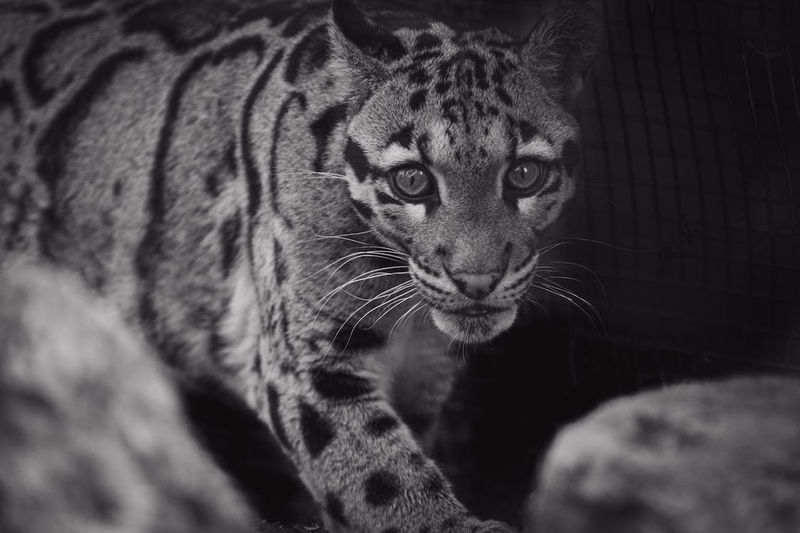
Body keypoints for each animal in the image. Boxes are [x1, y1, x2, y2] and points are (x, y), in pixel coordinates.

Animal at [0, 2, 600, 528]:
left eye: (524, 175)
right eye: (412, 180)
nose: (477, 279)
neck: (409, 313)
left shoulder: (426, 377)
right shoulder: (304, 360)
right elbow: (380, 476)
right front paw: (451, 524)